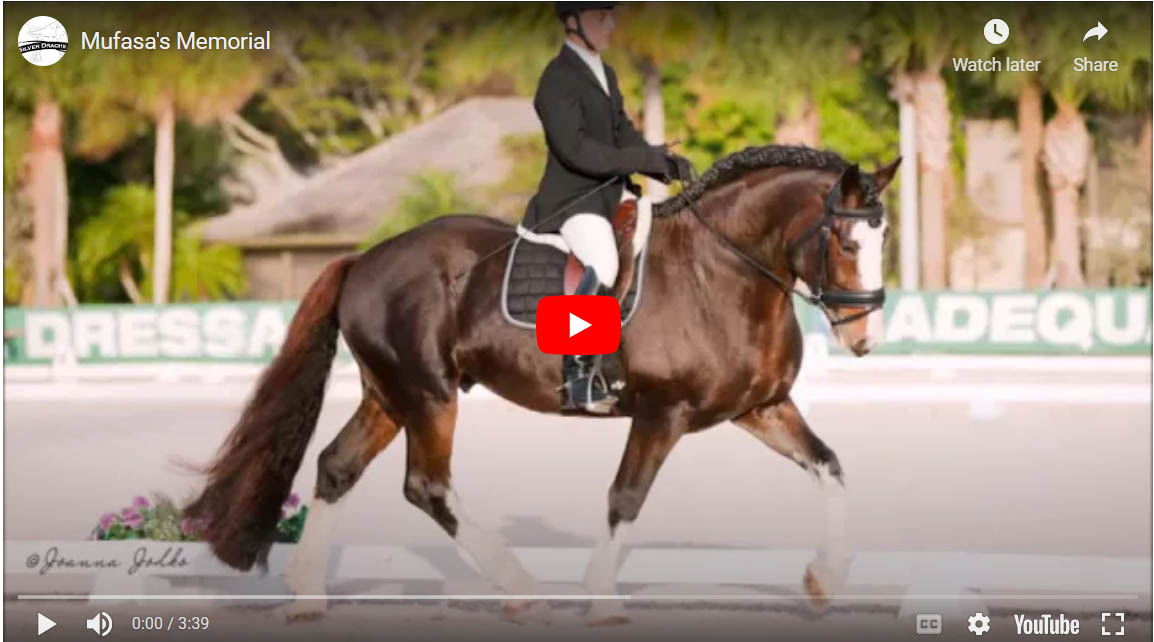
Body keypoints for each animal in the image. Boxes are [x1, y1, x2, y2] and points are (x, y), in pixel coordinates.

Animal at [182, 144, 900, 623]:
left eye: (882, 239)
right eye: (844, 240)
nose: (863, 339)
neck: (722, 272)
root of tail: (365, 258)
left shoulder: (762, 407)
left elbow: (831, 468)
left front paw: (825, 582)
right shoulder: (661, 414)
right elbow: (626, 497)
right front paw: (602, 599)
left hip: (390, 394)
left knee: (337, 466)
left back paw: (308, 595)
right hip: (430, 395)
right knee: (427, 485)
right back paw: (521, 587)